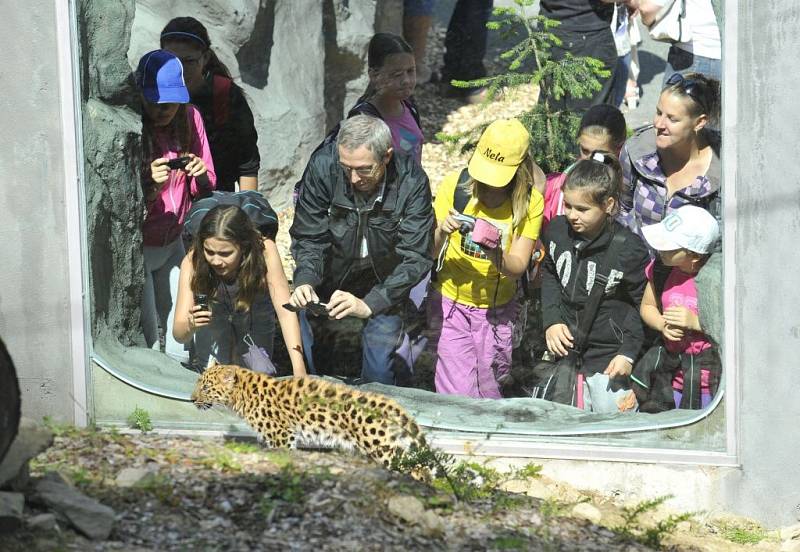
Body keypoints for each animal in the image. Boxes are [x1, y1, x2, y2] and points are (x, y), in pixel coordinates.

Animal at [191, 364, 428, 468]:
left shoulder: (282, 435)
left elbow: (284, 454)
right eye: (198, 384)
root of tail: (387, 402)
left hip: (381, 448)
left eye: (206, 387)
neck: (242, 395)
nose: (192, 399)